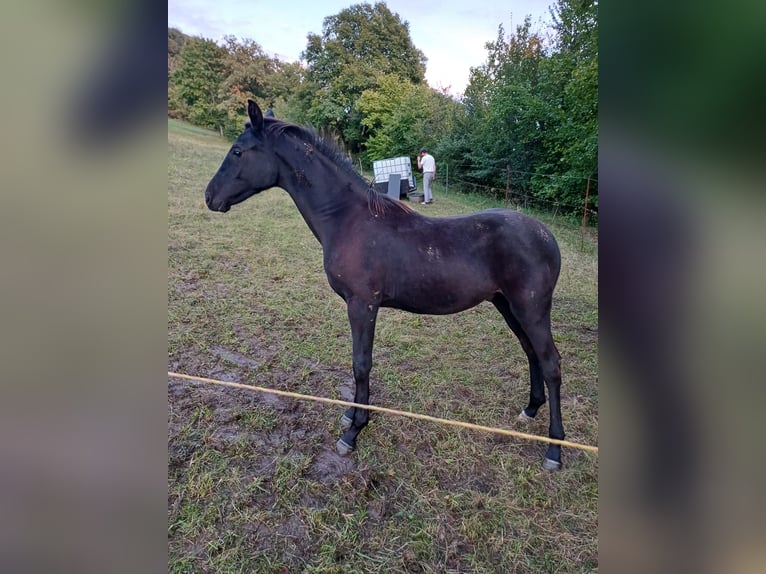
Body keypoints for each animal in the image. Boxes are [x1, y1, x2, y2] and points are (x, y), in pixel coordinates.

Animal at [207, 101, 568, 470]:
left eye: (238, 151)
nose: (210, 197)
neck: (349, 219)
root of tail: (547, 236)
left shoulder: (362, 304)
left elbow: (361, 364)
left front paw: (353, 432)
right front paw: (350, 417)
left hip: (531, 309)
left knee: (551, 363)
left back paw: (554, 450)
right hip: (507, 305)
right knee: (531, 353)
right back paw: (529, 411)